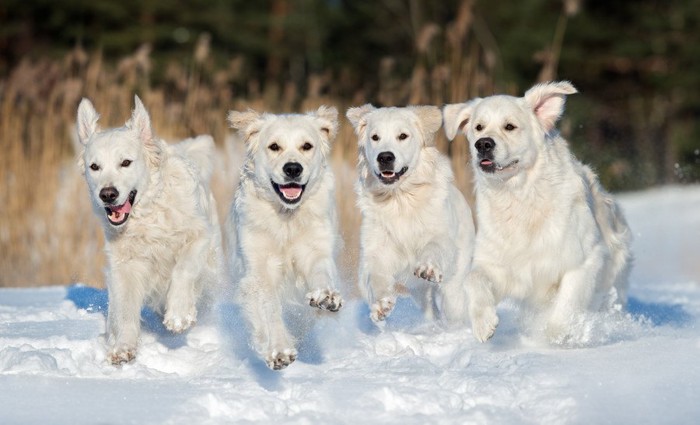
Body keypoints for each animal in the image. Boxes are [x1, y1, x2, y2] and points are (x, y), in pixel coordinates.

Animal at [76, 97, 221, 364]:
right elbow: (125, 309)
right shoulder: (125, 265)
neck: (147, 215)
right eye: (94, 166)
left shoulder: (198, 237)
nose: (107, 194)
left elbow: (183, 270)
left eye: (126, 162)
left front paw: (179, 315)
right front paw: (123, 348)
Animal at [226, 105, 344, 368]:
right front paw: (279, 350)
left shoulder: (315, 249)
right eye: (274, 146)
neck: (287, 218)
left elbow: (321, 272)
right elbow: (269, 308)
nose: (292, 169)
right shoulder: (259, 269)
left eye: (307, 146)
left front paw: (326, 296)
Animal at [348, 105, 478, 324]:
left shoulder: (440, 236)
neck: (400, 199)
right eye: (375, 137)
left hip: (454, 287)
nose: (385, 157)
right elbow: (374, 275)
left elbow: (434, 246)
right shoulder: (376, 248)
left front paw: (428, 267)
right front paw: (381, 304)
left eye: (403, 136)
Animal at [442, 81, 636, 342]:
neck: (521, 196)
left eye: (510, 126)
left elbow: (568, 302)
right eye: (478, 127)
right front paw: (484, 324)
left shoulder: (583, 260)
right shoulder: (500, 265)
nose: (482, 143)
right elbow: (473, 279)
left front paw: (556, 334)